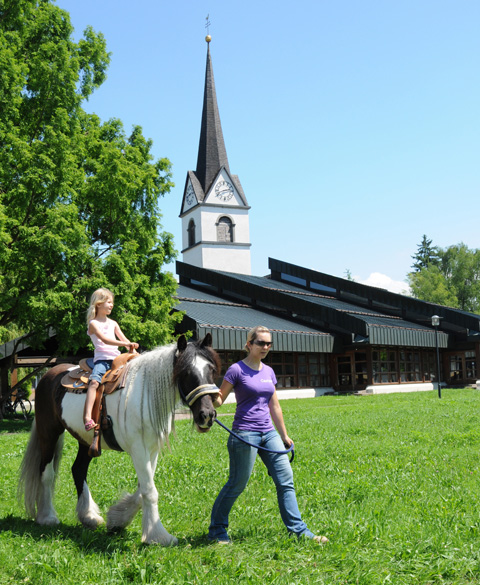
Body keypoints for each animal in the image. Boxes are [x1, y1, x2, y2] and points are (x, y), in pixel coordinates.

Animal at [17, 336, 220, 544]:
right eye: (186, 372)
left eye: (211, 370)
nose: (207, 415)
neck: (146, 392)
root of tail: (48, 376)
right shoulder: (139, 449)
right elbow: (149, 491)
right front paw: (158, 535)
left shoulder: (151, 450)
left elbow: (142, 490)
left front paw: (118, 520)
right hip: (49, 433)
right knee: (47, 473)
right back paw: (47, 516)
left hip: (86, 441)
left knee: (78, 469)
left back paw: (89, 516)